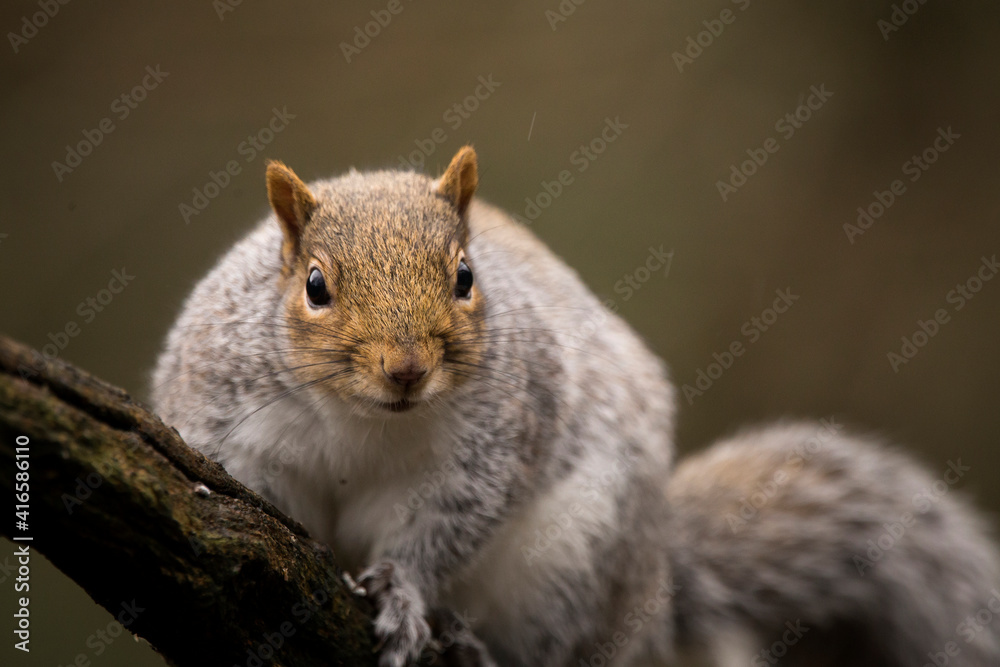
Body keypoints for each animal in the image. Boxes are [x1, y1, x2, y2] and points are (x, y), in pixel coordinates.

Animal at [152, 147, 1000, 667]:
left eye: (466, 276)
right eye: (315, 286)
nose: (406, 369)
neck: (365, 421)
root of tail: (657, 581)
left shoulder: (495, 443)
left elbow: (444, 529)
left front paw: (405, 591)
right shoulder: (230, 416)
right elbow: (239, 484)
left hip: (571, 560)